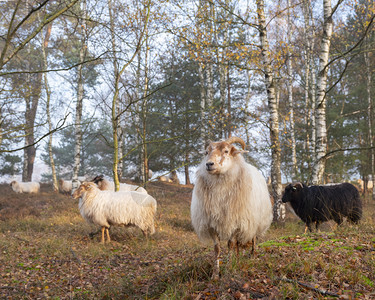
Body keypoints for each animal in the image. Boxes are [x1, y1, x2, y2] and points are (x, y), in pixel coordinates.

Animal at [191, 137, 274, 278]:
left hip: (253, 222)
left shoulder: (236, 223)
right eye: (207, 152)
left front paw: (229, 268)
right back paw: (238, 258)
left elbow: (230, 244)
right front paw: (215, 274)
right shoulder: (211, 224)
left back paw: (253, 255)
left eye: (226, 151)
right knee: (238, 245)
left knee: (253, 238)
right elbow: (217, 248)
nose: (209, 164)